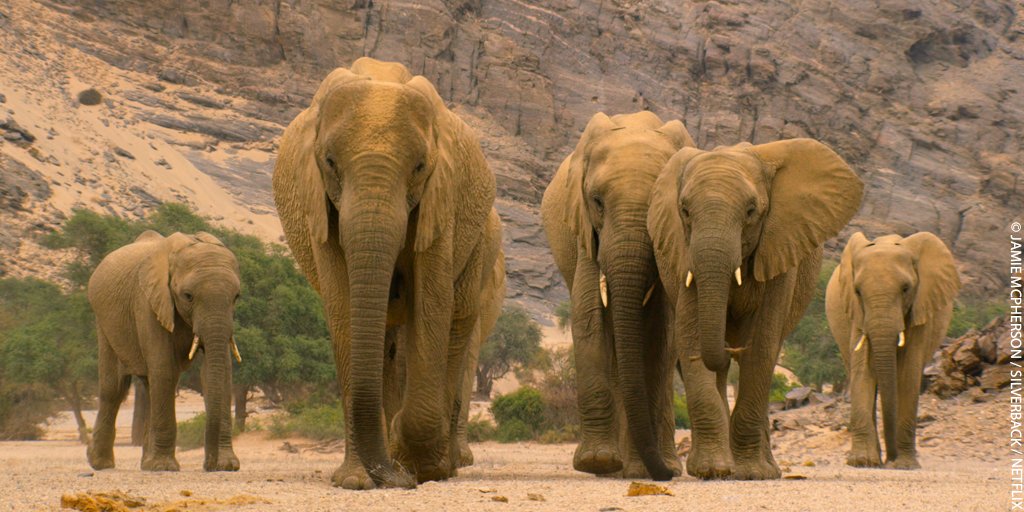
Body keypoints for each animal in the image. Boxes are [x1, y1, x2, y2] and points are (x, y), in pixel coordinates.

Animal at [86, 230, 242, 472]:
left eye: (236, 297)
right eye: (188, 296)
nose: (209, 465)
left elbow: (219, 372)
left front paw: (227, 466)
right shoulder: (148, 302)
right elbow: (164, 369)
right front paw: (164, 467)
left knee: (149, 386)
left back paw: (145, 464)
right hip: (103, 321)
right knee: (114, 388)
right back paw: (101, 464)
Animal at [271, 57, 496, 489]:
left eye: (420, 166)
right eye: (329, 162)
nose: (396, 478)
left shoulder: (441, 200)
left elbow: (433, 301)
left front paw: (420, 466)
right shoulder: (319, 206)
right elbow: (342, 307)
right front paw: (358, 481)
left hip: (478, 239)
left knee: (458, 321)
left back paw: (440, 464)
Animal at [541, 111, 695, 481]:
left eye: (658, 205)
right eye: (597, 201)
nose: (665, 477)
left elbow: (659, 334)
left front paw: (644, 468)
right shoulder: (584, 231)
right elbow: (588, 316)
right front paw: (597, 462)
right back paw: (616, 470)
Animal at [648, 139, 863, 480]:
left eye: (751, 211)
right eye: (684, 211)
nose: (728, 347)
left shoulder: (780, 248)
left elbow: (762, 344)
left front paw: (751, 473)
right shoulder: (683, 255)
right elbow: (692, 336)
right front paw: (711, 470)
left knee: (769, 353)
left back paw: (767, 469)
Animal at [825, 232, 960, 469]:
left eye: (906, 289)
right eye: (857, 291)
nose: (891, 458)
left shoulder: (920, 307)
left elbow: (908, 372)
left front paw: (905, 465)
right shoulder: (857, 313)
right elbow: (863, 369)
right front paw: (861, 462)